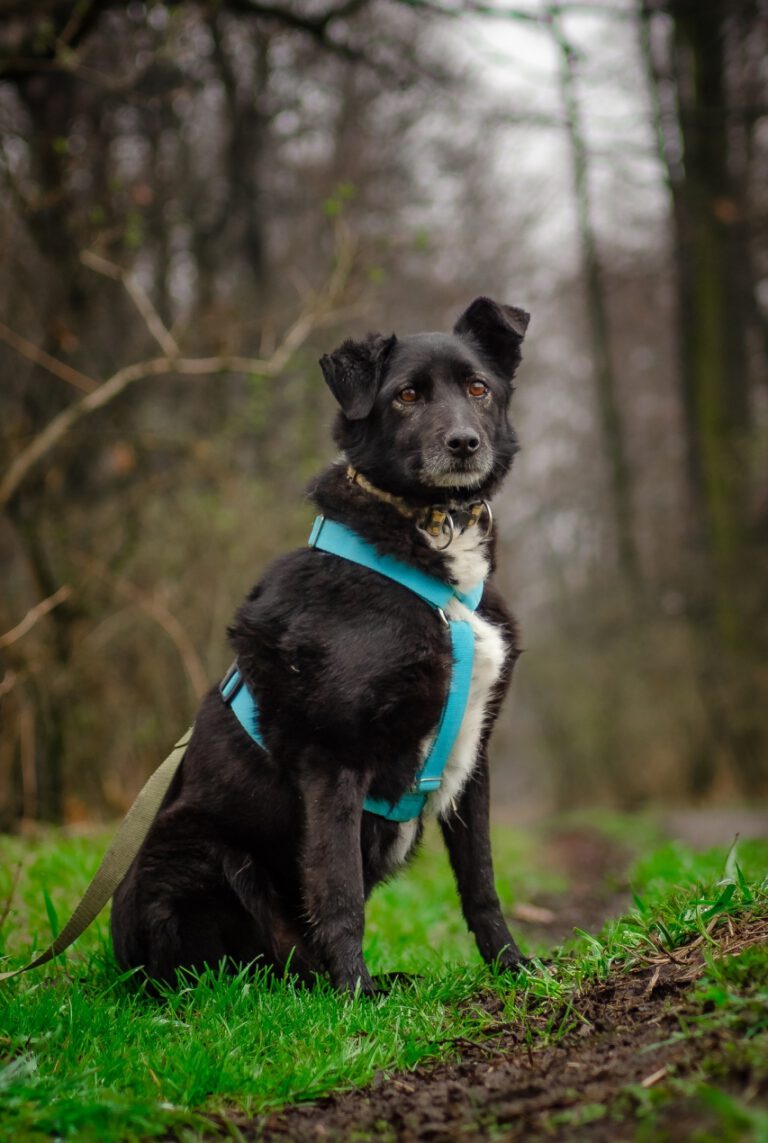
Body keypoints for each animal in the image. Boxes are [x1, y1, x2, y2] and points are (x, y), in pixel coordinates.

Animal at [110, 294, 530, 992]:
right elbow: (338, 892)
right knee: (253, 967)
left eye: (479, 388)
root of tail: (121, 966)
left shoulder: (475, 759)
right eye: (407, 396)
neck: (426, 538)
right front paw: (355, 996)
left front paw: (515, 968)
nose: (464, 443)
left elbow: (482, 883)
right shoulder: (333, 757)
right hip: (194, 853)